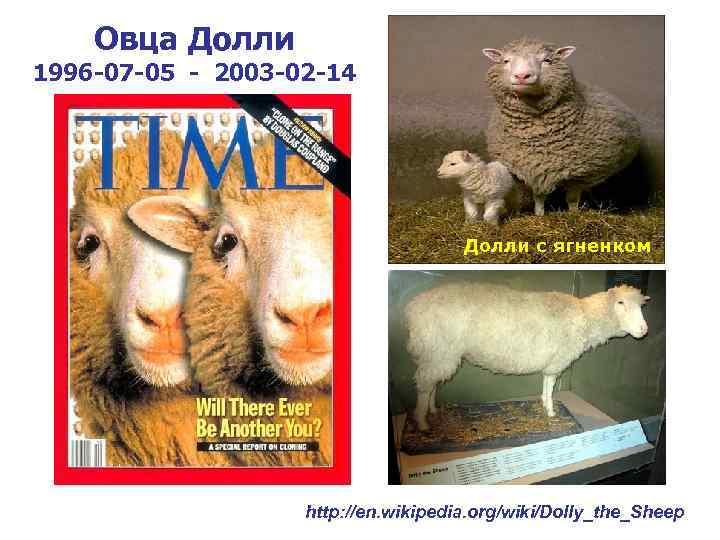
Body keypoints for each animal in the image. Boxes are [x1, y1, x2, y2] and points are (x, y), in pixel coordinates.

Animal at [406, 282, 649, 431]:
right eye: (620, 303)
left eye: (641, 306)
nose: (644, 330)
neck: (585, 317)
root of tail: (413, 307)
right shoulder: (558, 359)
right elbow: (551, 385)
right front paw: (551, 411)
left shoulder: (552, 361)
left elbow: (546, 384)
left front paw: (545, 405)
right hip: (439, 350)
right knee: (425, 385)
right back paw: (422, 422)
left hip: (435, 353)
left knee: (431, 384)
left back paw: (433, 411)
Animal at [482, 38, 641, 216]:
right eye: (505, 61)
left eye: (547, 60)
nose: (522, 76)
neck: (537, 135)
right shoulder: (535, 169)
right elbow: (539, 198)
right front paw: (539, 216)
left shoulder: (580, 174)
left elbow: (572, 199)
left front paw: (574, 215)